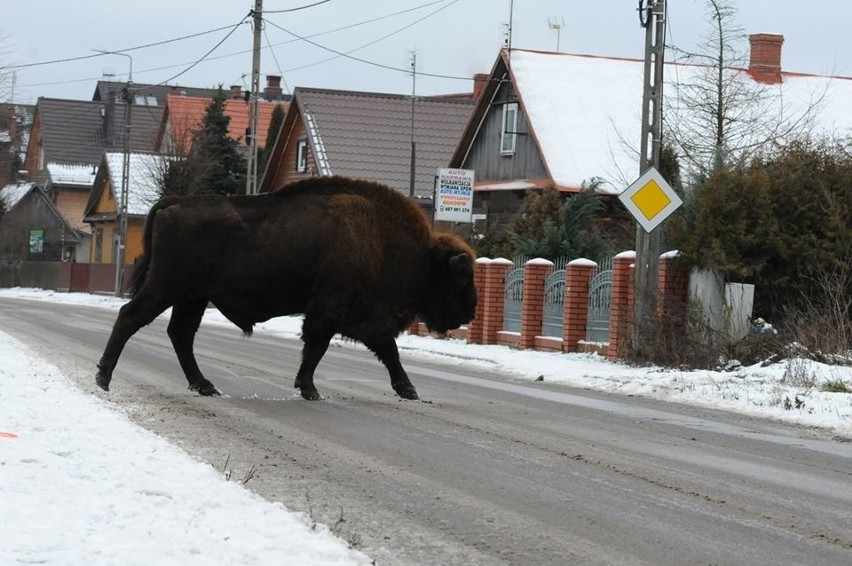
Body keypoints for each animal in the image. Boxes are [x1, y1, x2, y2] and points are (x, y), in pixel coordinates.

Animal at [96, 175, 480, 402]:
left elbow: (387, 351)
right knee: (130, 317)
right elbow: (319, 347)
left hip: (193, 297)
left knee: (180, 334)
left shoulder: (358, 320)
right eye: (461, 278)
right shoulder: (331, 310)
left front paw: (408, 389)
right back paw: (103, 378)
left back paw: (205, 386)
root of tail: (172, 203)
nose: (470, 312)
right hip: (168, 287)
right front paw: (310, 390)